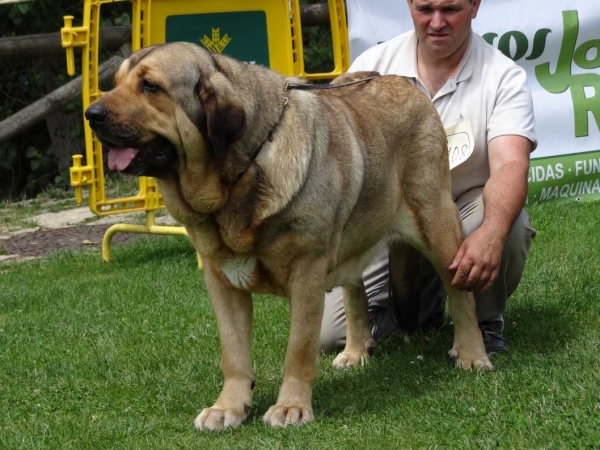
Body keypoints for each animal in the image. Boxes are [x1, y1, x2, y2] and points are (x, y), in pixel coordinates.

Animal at [88, 43, 492, 432]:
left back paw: (473, 354)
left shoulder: (306, 273)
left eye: (150, 86)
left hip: (436, 225)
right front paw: (228, 408)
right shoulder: (221, 281)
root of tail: (406, 84)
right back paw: (355, 351)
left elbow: (298, 349)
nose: (92, 114)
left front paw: (291, 407)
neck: (242, 172)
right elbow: (233, 353)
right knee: (356, 292)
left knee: (460, 294)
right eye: (116, 82)